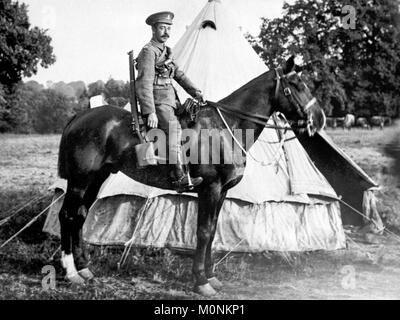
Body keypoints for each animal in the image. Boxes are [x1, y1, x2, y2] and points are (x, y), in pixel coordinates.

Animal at [57, 56, 324, 296]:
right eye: (297, 84)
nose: (319, 119)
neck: (226, 128)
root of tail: (79, 116)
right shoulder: (210, 188)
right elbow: (203, 232)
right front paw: (201, 281)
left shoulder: (222, 191)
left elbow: (213, 230)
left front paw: (211, 276)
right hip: (80, 181)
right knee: (67, 215)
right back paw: (71, 272)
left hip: (96, 178)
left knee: (80, 215)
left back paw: (84, 269)